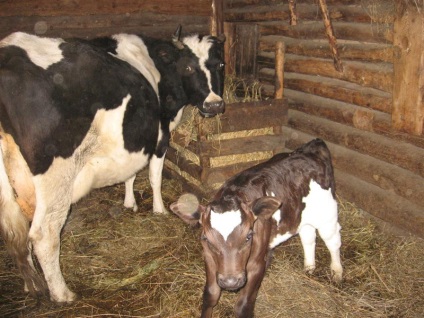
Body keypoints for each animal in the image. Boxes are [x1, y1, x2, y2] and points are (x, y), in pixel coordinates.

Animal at [0, 28, 225, 304]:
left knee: (17, 230)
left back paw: (31, 284)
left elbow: (131, 174)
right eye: (189, 67)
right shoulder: (160, 135)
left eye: (220, 65)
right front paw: (159, 210)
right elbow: (155, 177)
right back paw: (62, 293)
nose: (215, 104)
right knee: (44, 233)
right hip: (55, 174)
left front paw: (129, 203)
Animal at [171, 139, 342, 318]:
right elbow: (210, 294)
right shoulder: (209, 258)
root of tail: (312, 147)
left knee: (333, 241)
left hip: (327, 214)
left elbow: (243, 304)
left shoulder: (256, 264)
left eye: (248, 236)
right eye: (207, 239)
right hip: (301, 215)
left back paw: (337, 273)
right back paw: (309, 268)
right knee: (308, 236)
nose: (230, 282)